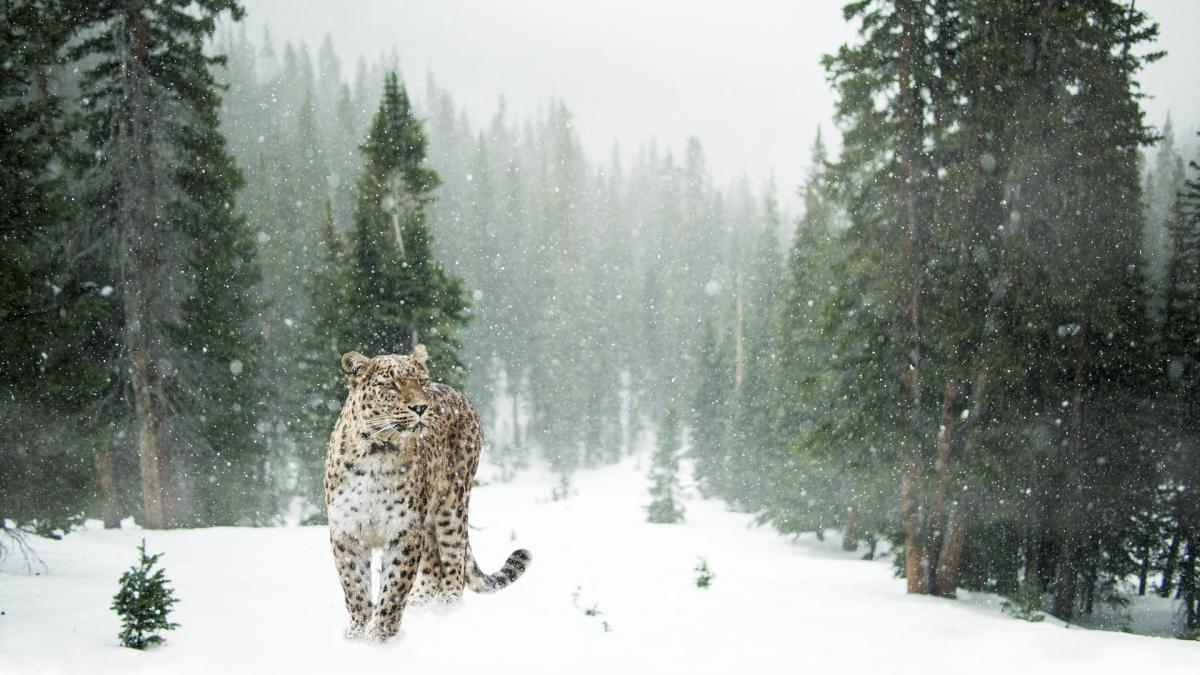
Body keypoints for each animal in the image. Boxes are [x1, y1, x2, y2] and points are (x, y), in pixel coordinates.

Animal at [324, 344, 531, 642]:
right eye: (391, 385)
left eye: (421, 382)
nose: (421, 407)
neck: (377, 452)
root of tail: (459, 394)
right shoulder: (346, 531)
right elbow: (354, 586)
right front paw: (357, 632)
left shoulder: (405, 531)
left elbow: (394, 586)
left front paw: (381, 635)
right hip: (430, 519)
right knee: (433, 562)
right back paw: (420, 603)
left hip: (452, 504)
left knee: (454, 558)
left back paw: (447, 609)